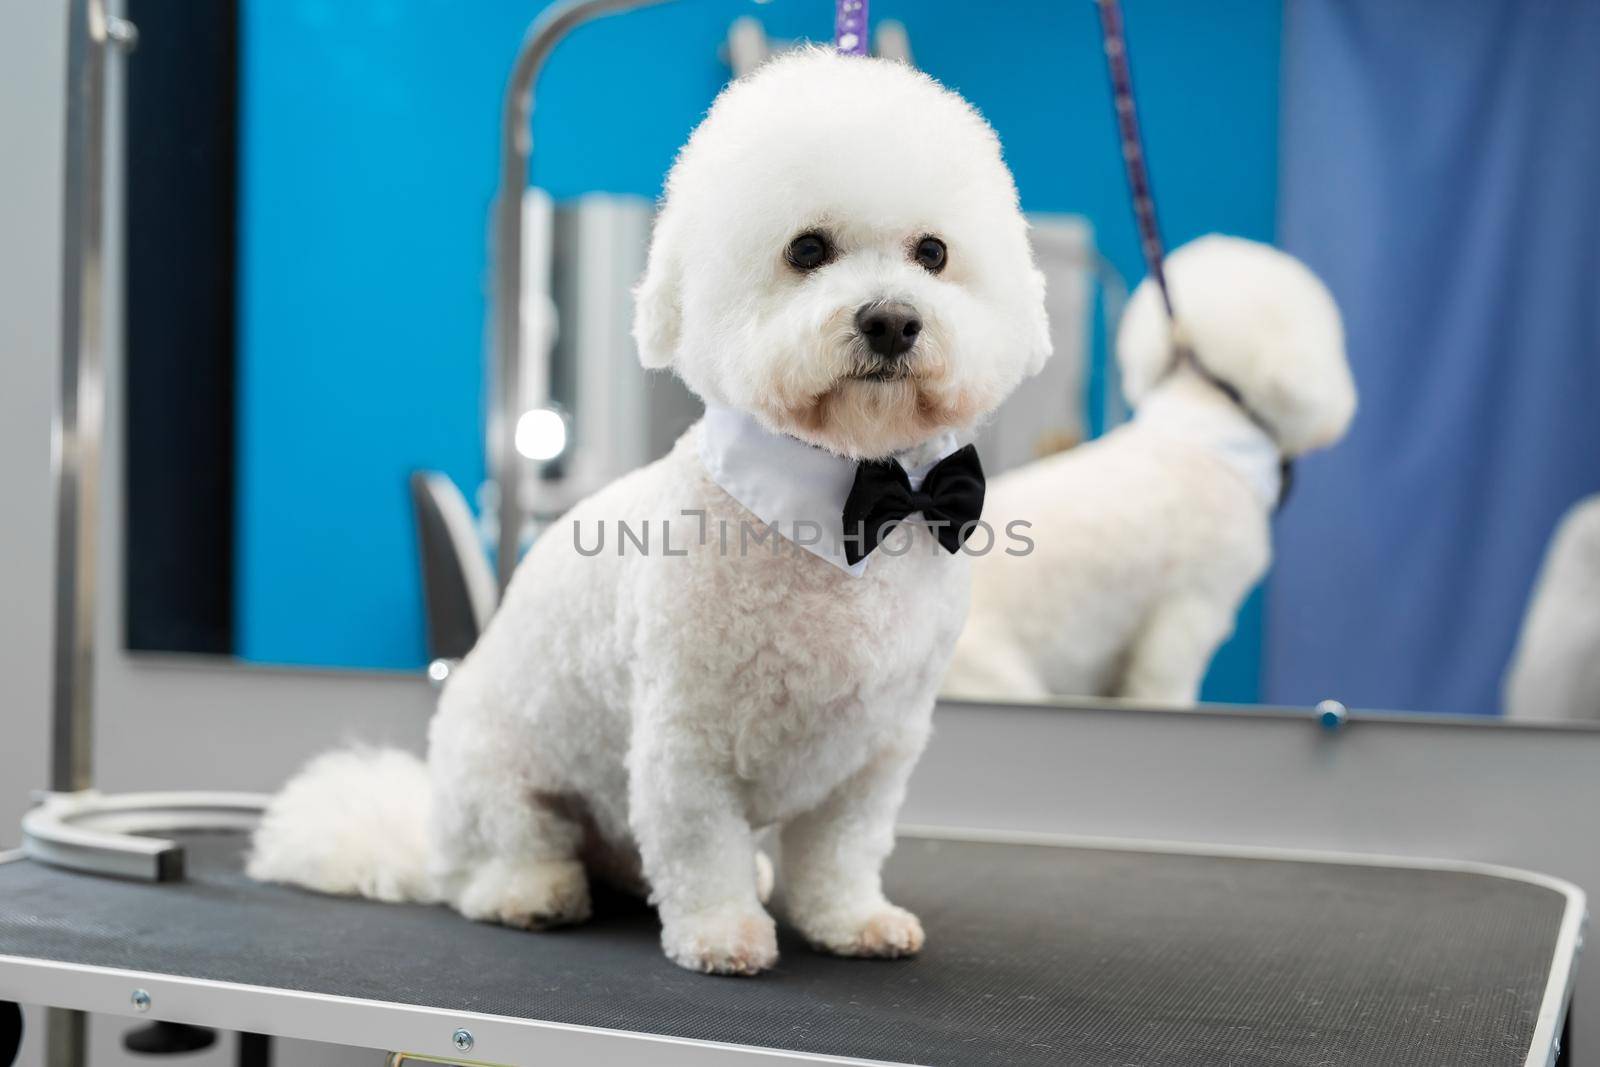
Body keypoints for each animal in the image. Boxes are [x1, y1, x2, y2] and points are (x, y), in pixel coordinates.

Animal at [246, 54, 1049, 979]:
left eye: (934, 253)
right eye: (807, 249)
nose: (891, 318)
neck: (847, 501)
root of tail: (426, 833)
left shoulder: (874, 753)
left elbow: (841, 853)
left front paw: (852, 920)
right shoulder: (687, 739)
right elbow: (702, 846)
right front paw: (723, 932)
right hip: (498, 775)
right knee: (499, 860)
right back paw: (531, 891)